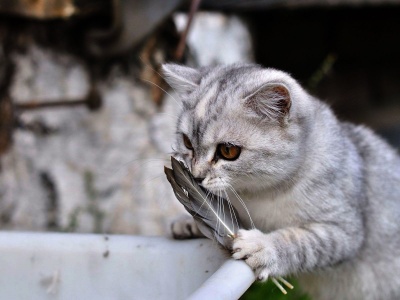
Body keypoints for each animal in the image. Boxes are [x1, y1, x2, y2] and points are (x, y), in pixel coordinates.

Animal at [162, 63, 400, 300]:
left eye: (228, 150)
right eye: (187, 142)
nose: (196, 176)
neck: (258, 194)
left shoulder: (345, 230)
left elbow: (300, 242)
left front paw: (264, 247)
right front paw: (188, 221)